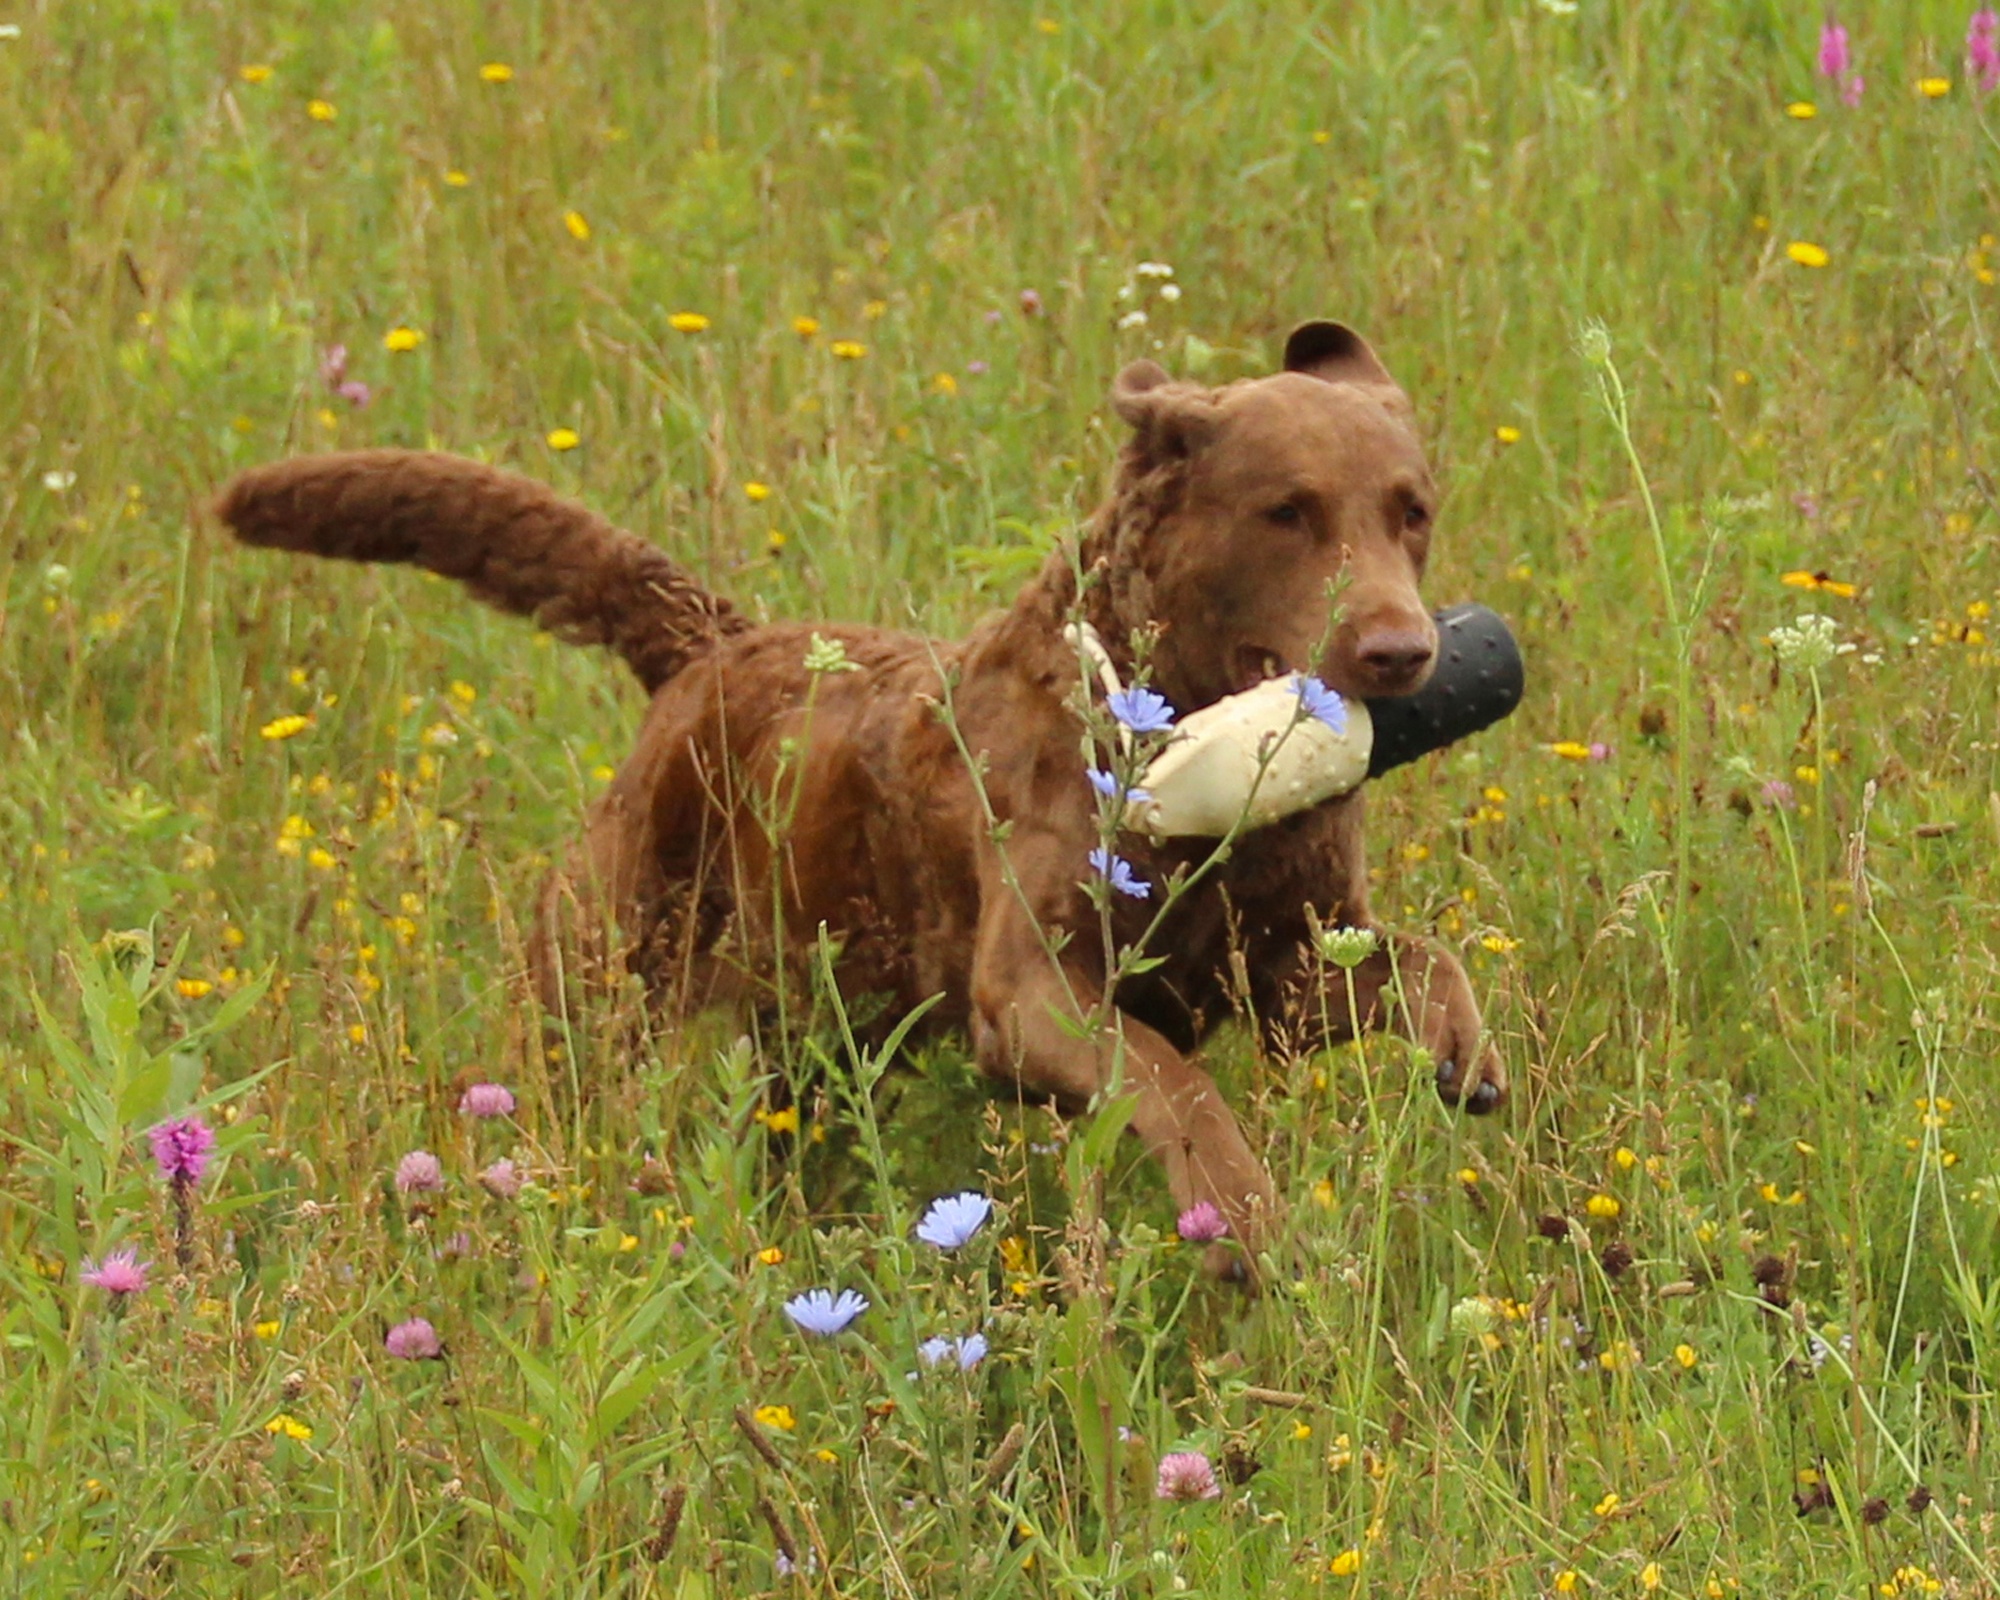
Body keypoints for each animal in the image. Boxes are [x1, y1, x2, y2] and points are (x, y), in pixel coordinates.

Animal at [219, 322, 1504, 1272]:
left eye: (1411, 510)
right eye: (1286, 510)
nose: (1402, 651)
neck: (1177, 739)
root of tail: (709, 642)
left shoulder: (1283, 966)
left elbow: (1425, 961)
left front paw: (1463, 1054)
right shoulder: (1025, 989)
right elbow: (1166, 1078)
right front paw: (1235, 1210)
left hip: (812, 1036)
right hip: (605, 978)